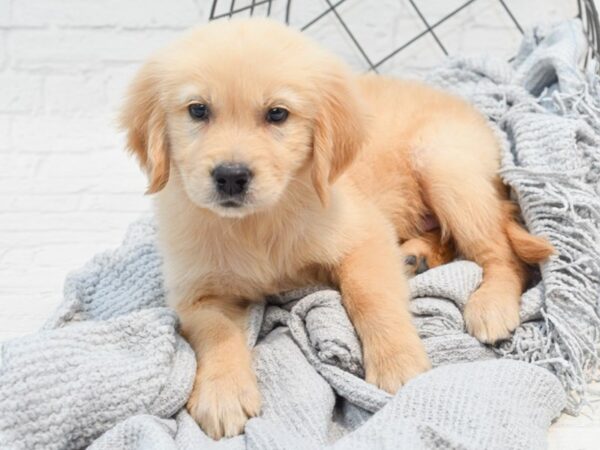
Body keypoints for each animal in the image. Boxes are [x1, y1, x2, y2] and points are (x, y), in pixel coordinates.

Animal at [120, 18, 552, 440]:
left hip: (445, 168)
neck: (256, 223)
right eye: (198, 111)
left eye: (277, 114)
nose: (230, 177)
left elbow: (370, 296)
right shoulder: (195, 293)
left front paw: (396, 362)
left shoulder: (365, 236)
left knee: (504, 254)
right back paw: (418, 257)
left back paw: (491, 303)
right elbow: (216, 331)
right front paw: (222, 392)